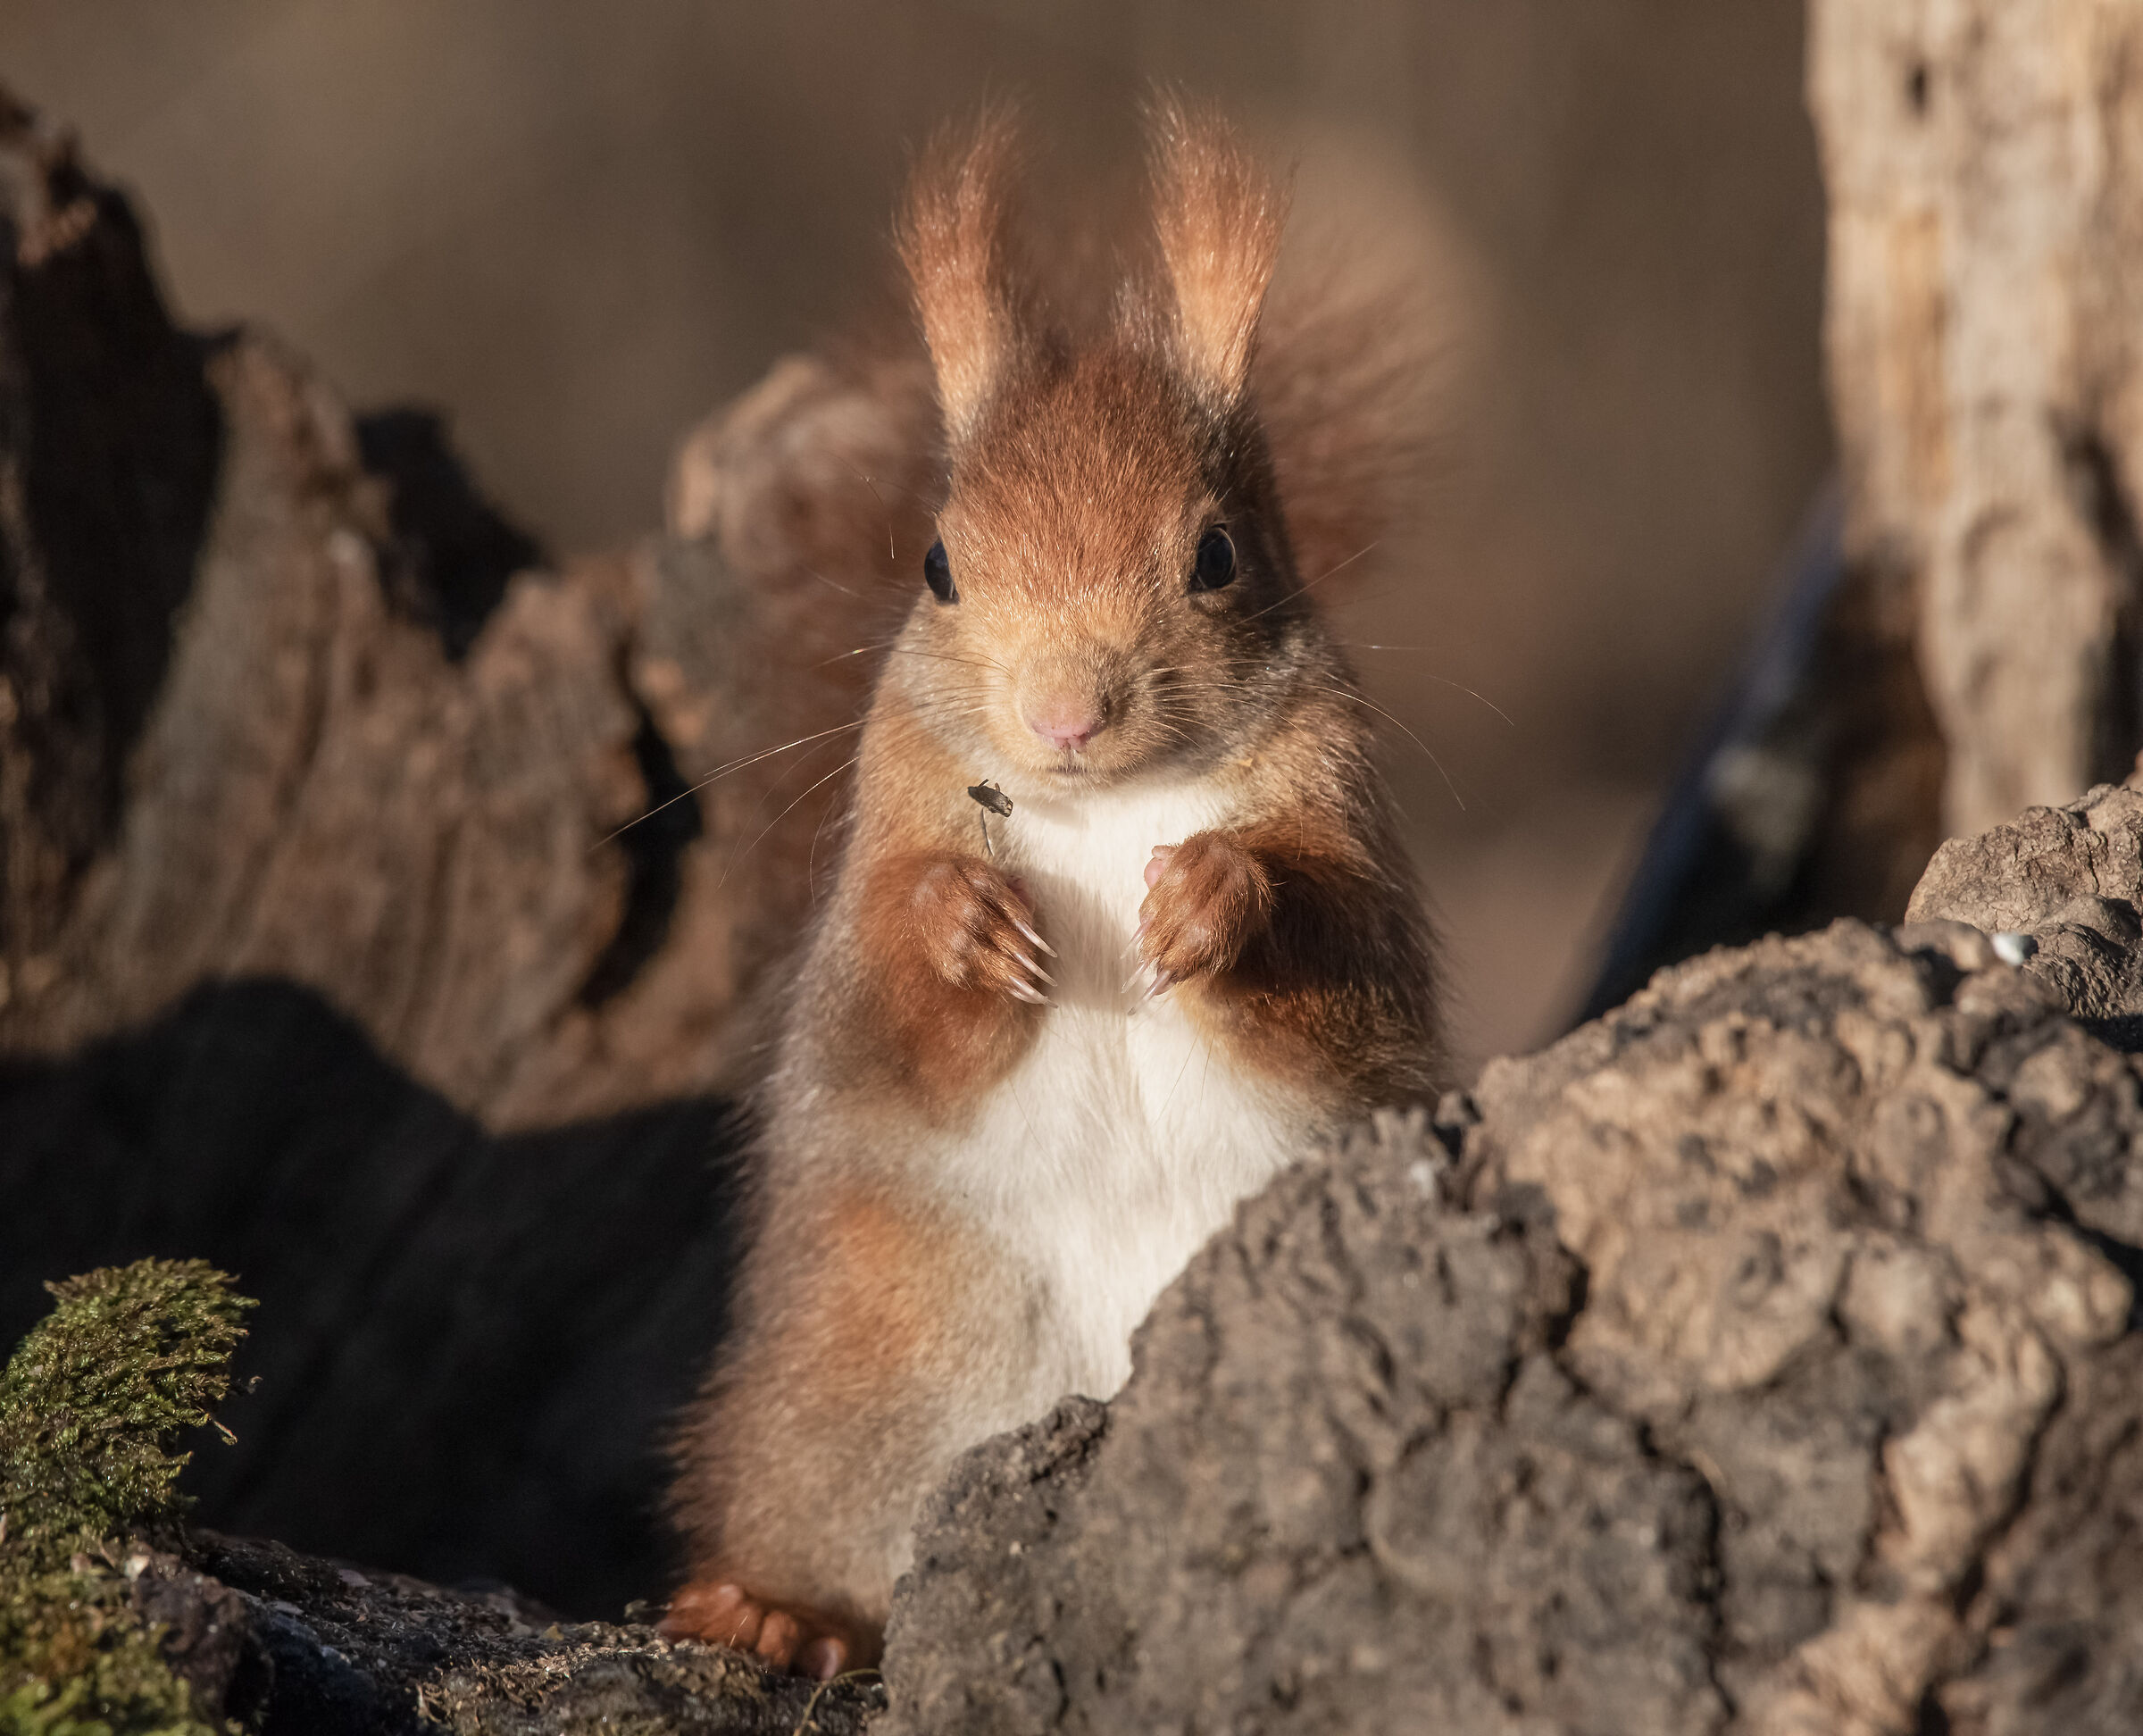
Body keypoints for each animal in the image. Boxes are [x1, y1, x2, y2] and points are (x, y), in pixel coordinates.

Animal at [659, 100, 1443, 1679]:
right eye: (937, 563)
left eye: (1216, 554)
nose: (1066, 714)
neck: (1100, 809)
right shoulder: (873, 871)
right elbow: (888, 1016)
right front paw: (962, 925)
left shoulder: (1354, 853)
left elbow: (1332, 984)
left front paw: (1215, 897)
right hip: (862, 1385)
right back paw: (774, 1609)